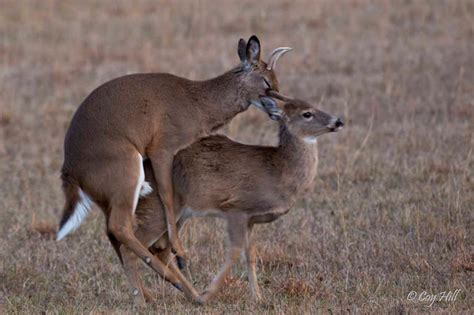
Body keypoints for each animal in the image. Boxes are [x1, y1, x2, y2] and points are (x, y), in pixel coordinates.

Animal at [55, 35, 292, 304]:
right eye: (266, 81)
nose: (278, 107)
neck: (197, 102)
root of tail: (70, 168)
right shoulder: (163, 148)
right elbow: (167, 196)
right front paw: (181, 253)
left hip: (112, 196)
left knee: (113, 232)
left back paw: (161, 292)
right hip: (127, 173)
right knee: (120, 227)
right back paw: (176, 286)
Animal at [124, 94, 342, 306]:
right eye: (307, 113)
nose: (338, 121)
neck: (278, 171)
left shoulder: (251, 220)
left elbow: (251, 254)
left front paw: (259, 298)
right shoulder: (237, 208)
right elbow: (235, 251)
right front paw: (208, 294)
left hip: (178, 215)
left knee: (160, 248)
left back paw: (186, 294)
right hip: (158, 209)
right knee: (131, 245)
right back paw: (145, 300)